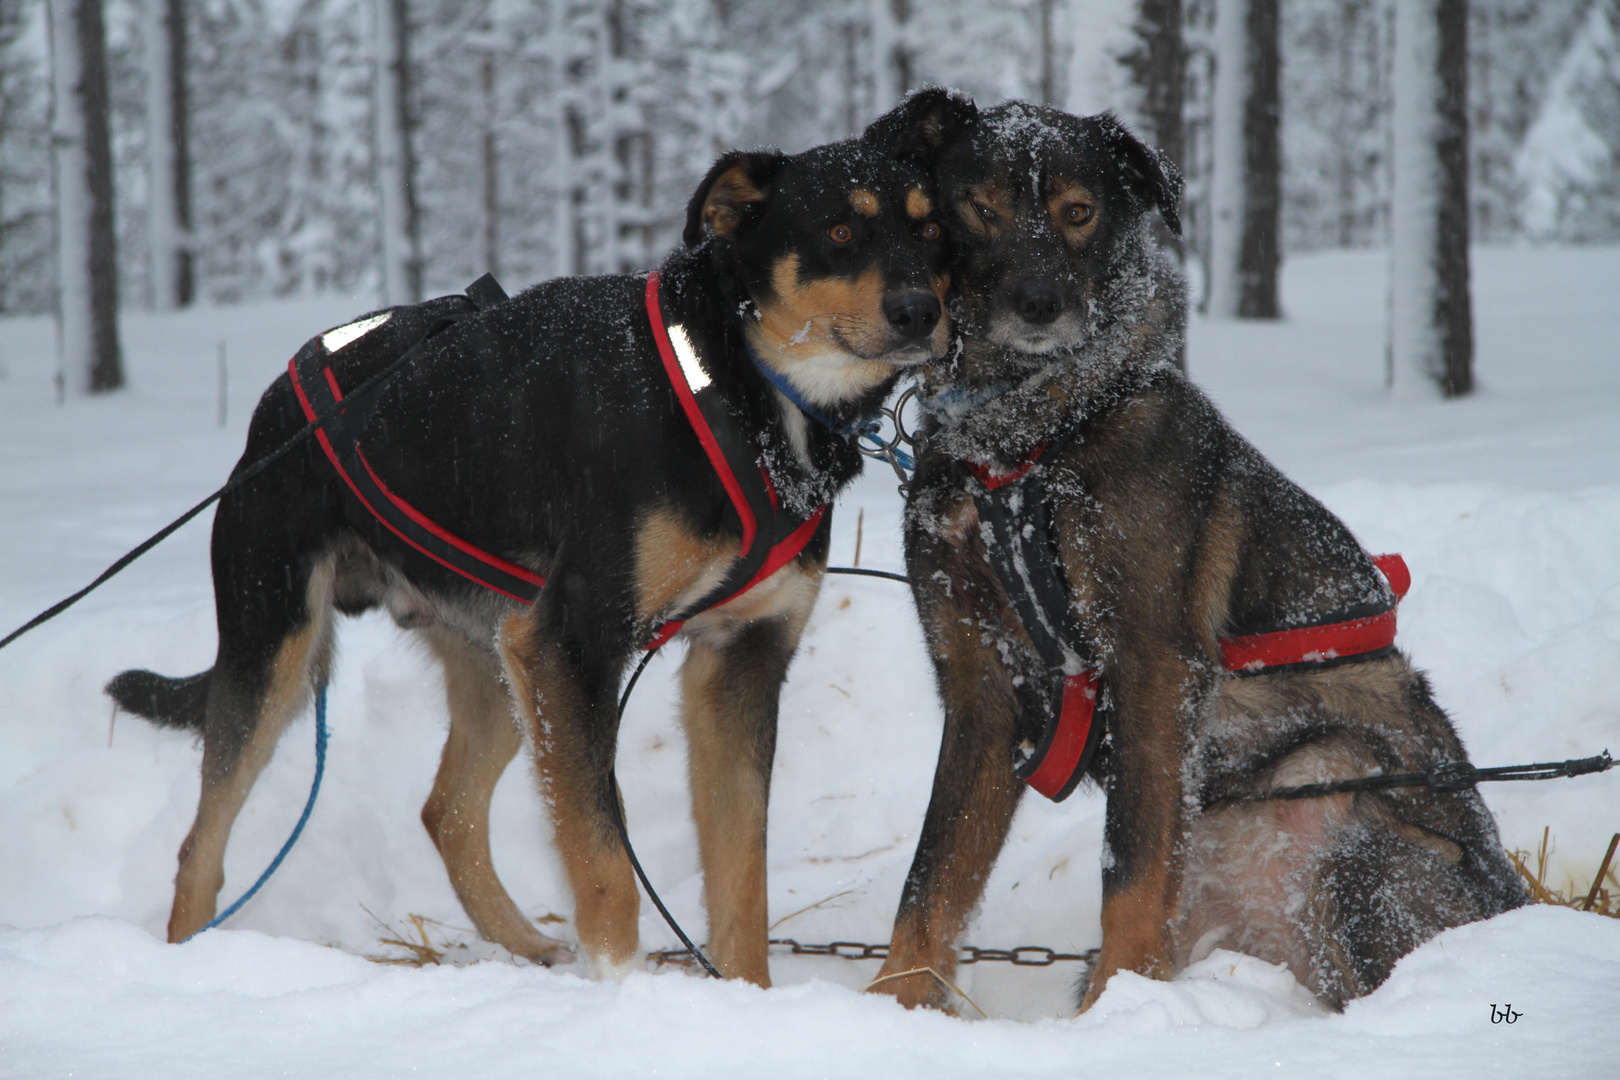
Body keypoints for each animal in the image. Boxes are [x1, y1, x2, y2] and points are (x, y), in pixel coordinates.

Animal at [107, 101, 959, 990]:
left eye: (932, 232)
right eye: (839, 230)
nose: (920, 311)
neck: (736, 387)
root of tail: (275, 404)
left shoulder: (738, 657)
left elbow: (741, 882)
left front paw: (745, 997)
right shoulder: (574, 646)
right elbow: (605, 866)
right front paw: (620, 985)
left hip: (500, 665)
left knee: (445, 811)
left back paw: (525, 945)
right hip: (280, 652)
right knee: (201, 846)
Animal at [874, 93, 1516, 1016]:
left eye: (1080, 212)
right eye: (979, 209)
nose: (1040, 304)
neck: (1025, 446)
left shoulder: (1152, 667)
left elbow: (1132, 870)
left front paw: (1116, 1014)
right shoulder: (980, 687)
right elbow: (930, 887)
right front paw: (887, 1005)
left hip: (1341, 792)